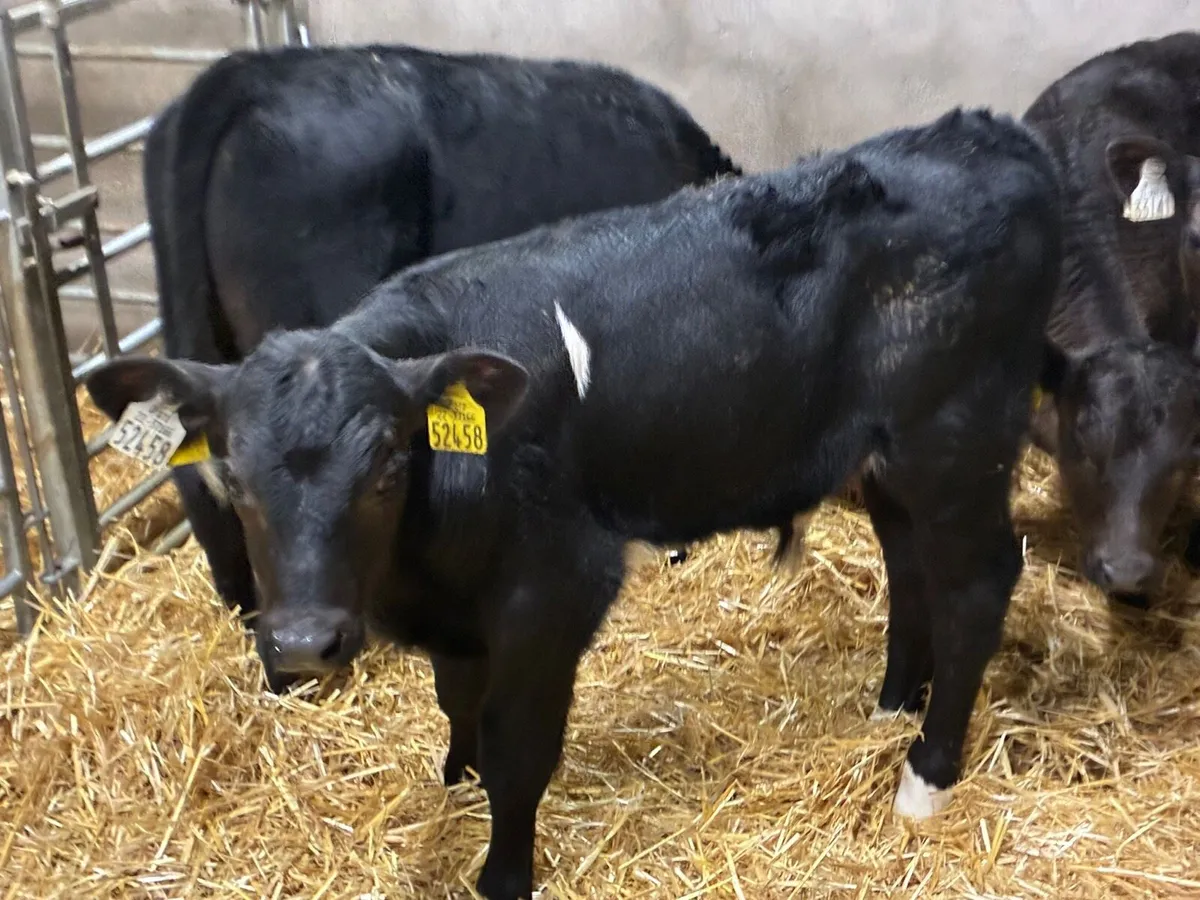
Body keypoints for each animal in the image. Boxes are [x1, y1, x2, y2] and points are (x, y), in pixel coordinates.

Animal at [89, 107, 1063, 900]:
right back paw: (892, 705)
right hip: (888, 455)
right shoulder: (461, 610)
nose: (300, 644)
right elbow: (456, 704)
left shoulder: (553, 587)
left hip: (958, 433)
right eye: (235, 478)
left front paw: (502, 872)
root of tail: (987, 134)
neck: (421, 569)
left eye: (386, 467)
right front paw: (454, 782)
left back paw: (925, 775)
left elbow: (518, 750)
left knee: (976, 586)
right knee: (910, 568)